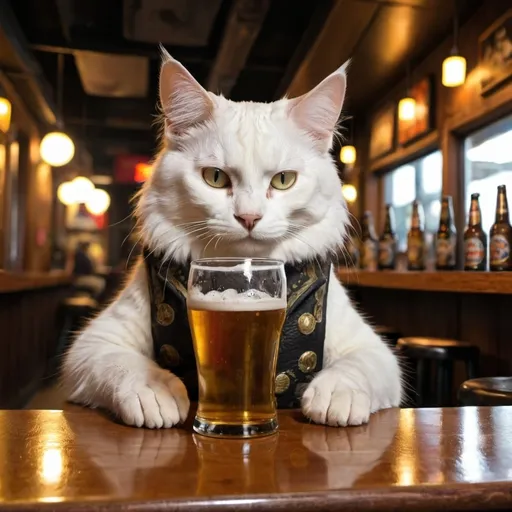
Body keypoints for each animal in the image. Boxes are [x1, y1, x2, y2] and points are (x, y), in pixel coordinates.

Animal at [62, 51, 402, 428]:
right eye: (214, 177)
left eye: (284, 180)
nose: (249, 217)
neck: (240, 277)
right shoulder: (94, 344)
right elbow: (122, 364)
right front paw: (155, 390)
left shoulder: (374, 350)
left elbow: (358, 367)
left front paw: (336, 395)